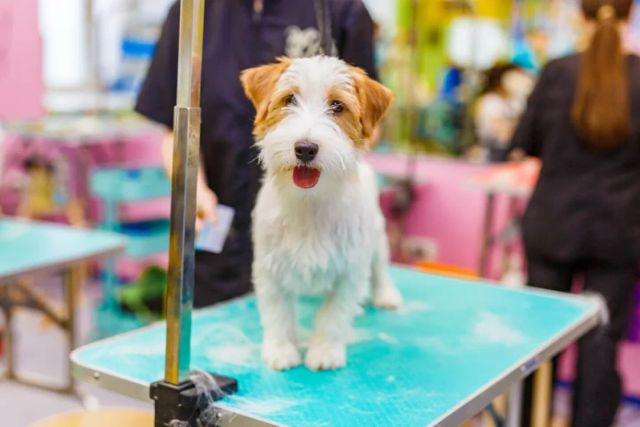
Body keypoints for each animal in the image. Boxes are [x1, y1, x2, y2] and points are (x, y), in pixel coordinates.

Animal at [241, 56, 402, 371]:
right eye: (289, 99)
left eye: (338, 106)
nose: (305, 148)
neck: (309, 201)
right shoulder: (269, 268)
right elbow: (278, 313)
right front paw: (281, 349)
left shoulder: (350, 271)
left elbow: (333, 315)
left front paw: (325, 351)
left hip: (376, 237)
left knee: (380, 267)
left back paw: (385, 294)